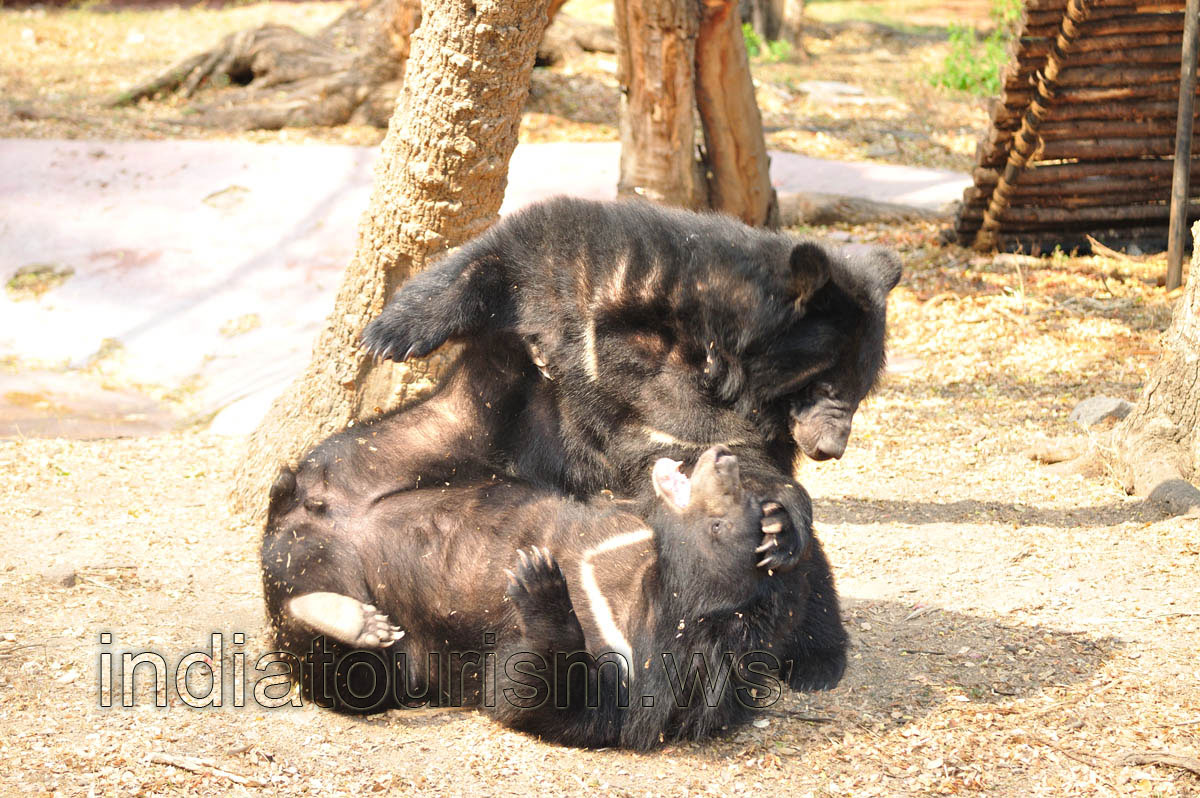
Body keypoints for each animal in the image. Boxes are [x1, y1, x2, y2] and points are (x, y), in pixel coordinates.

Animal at [261, 445, 848, 750]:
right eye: (734, 503)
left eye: (721, 523)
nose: (723, 455)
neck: (649, 587)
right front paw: (781, 527)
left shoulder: (640, 674)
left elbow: (531, 696)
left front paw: (538, 581)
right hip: (375, 472)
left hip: (394, 655)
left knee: (345, 675)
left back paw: (354, 620)